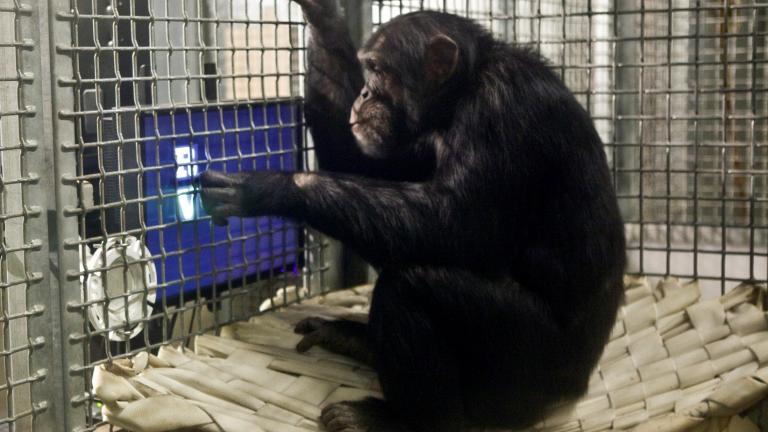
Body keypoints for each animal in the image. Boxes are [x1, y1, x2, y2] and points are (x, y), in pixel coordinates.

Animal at [198, 1, 626, 431]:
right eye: (366, 68)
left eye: (379, 69)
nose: (364, 92)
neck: (461, 93)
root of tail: (573, 392)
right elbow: (364, 164)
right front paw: (325, 18)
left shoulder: (505, 107)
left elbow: (456, 223)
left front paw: (266, 187)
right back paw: (356, 340)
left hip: (529, 375)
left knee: (412, 286)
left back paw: (396, 419)